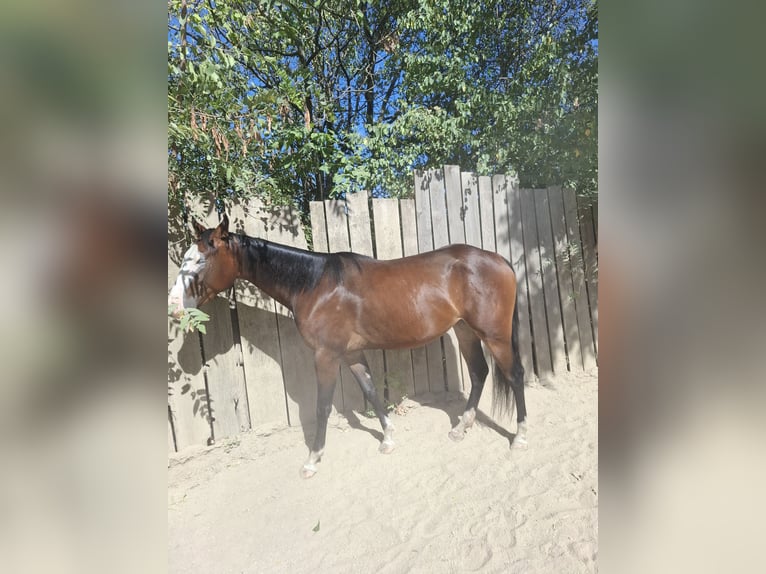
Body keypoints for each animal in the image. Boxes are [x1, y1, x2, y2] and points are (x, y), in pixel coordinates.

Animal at [168, 213, 527, 478]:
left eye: (200, 261)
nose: (174, 306)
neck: (314, 285)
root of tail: (500, 260)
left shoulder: (326, 355)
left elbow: (322, 407)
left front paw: (312, 460)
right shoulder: (351, 353)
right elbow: (371, 391)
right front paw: (387, 439)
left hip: (494, 335)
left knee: (515, 375)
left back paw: (520, 437)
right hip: (465, 331)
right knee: (479, 374)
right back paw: (460, 429)